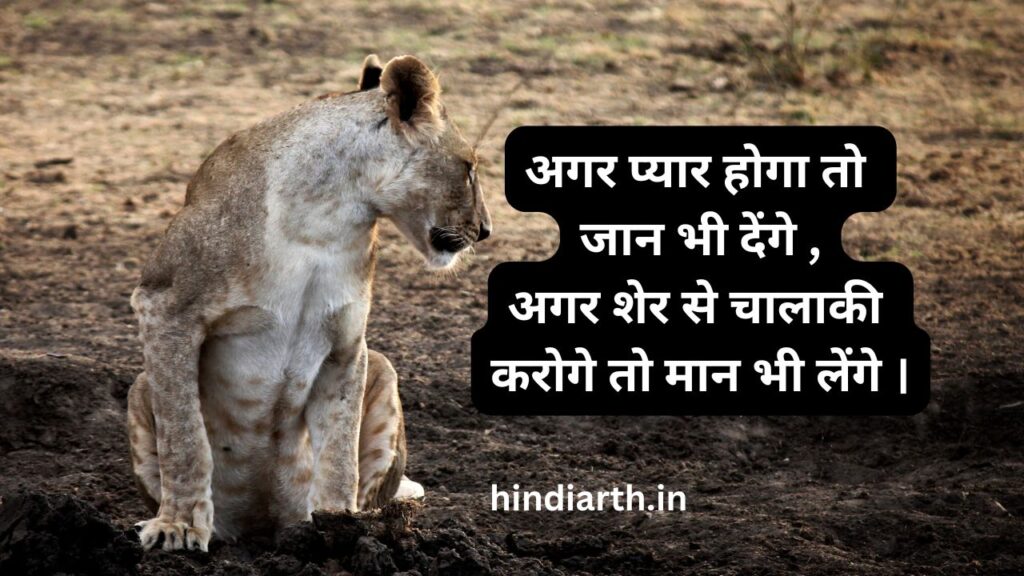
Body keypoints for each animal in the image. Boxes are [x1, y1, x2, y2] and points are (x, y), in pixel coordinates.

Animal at [126, 54, 491, 551]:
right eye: (468, 167)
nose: (486, 230)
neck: (325, 216)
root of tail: (262, 525)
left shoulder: (347, 344)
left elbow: (339, 447)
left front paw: (339, 527)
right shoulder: (166, 306)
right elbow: (184, 436)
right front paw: (177, 526)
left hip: (382, 366)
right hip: (140, 385)